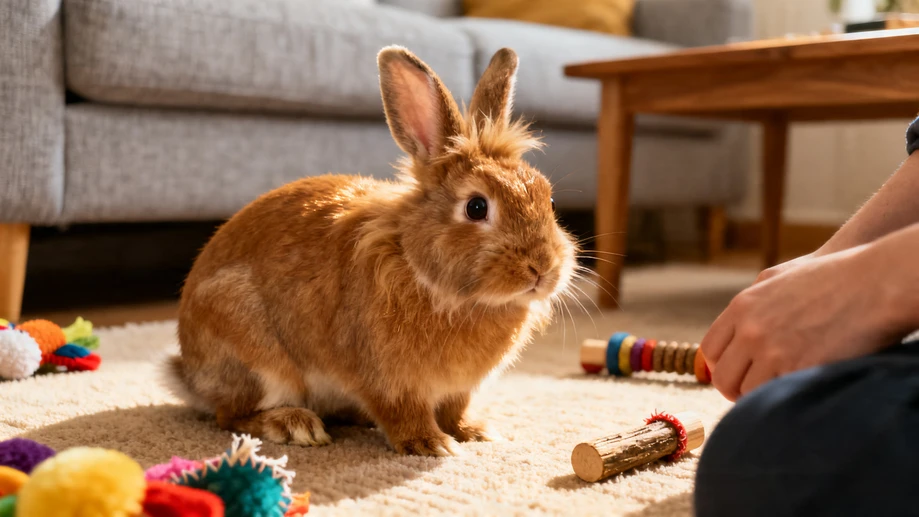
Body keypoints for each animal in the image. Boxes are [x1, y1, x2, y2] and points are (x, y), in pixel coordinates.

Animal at [165, 45, 578, 456]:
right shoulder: (387, 379)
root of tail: (188, 375)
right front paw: (431, 444)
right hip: (255, 356)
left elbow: (455, 410)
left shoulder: (457, 390)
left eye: (549, 199)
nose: (542, 268)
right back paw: (294, 425)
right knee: (231, 415)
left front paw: (474, 432)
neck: (420, 269)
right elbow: (402, 411)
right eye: (476, 207)